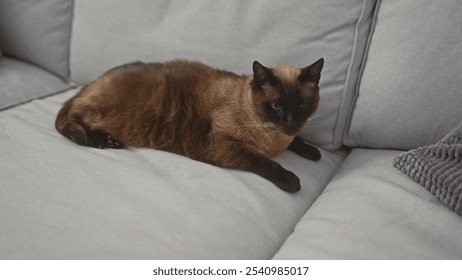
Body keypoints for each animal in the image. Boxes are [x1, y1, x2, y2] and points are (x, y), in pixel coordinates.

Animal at [56, 58, 324, 192]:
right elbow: (262, 161)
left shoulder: (288, 137)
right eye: (276, 106)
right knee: (72, 123)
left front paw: (313, 152)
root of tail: (88, 84)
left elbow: (297, 141)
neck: (274, 140)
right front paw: (291, 181)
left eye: (302, 105)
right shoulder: (222, 146)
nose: (290, 122)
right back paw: (105, 141)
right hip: (98, 112)